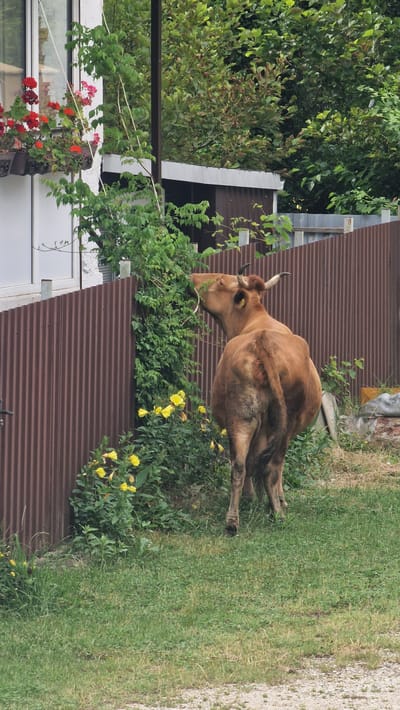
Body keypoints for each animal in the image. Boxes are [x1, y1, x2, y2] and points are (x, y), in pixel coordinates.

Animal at [191, 268, 322, 535]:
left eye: (221, 280)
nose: (192, 278)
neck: (255, 320)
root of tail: (262, 342)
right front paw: (273, 499)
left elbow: (251, 462)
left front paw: (255, 499)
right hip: (283, 423)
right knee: (272, 465)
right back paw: (276, 512)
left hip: (242, 418)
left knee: (240, 465)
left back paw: (233, 520)